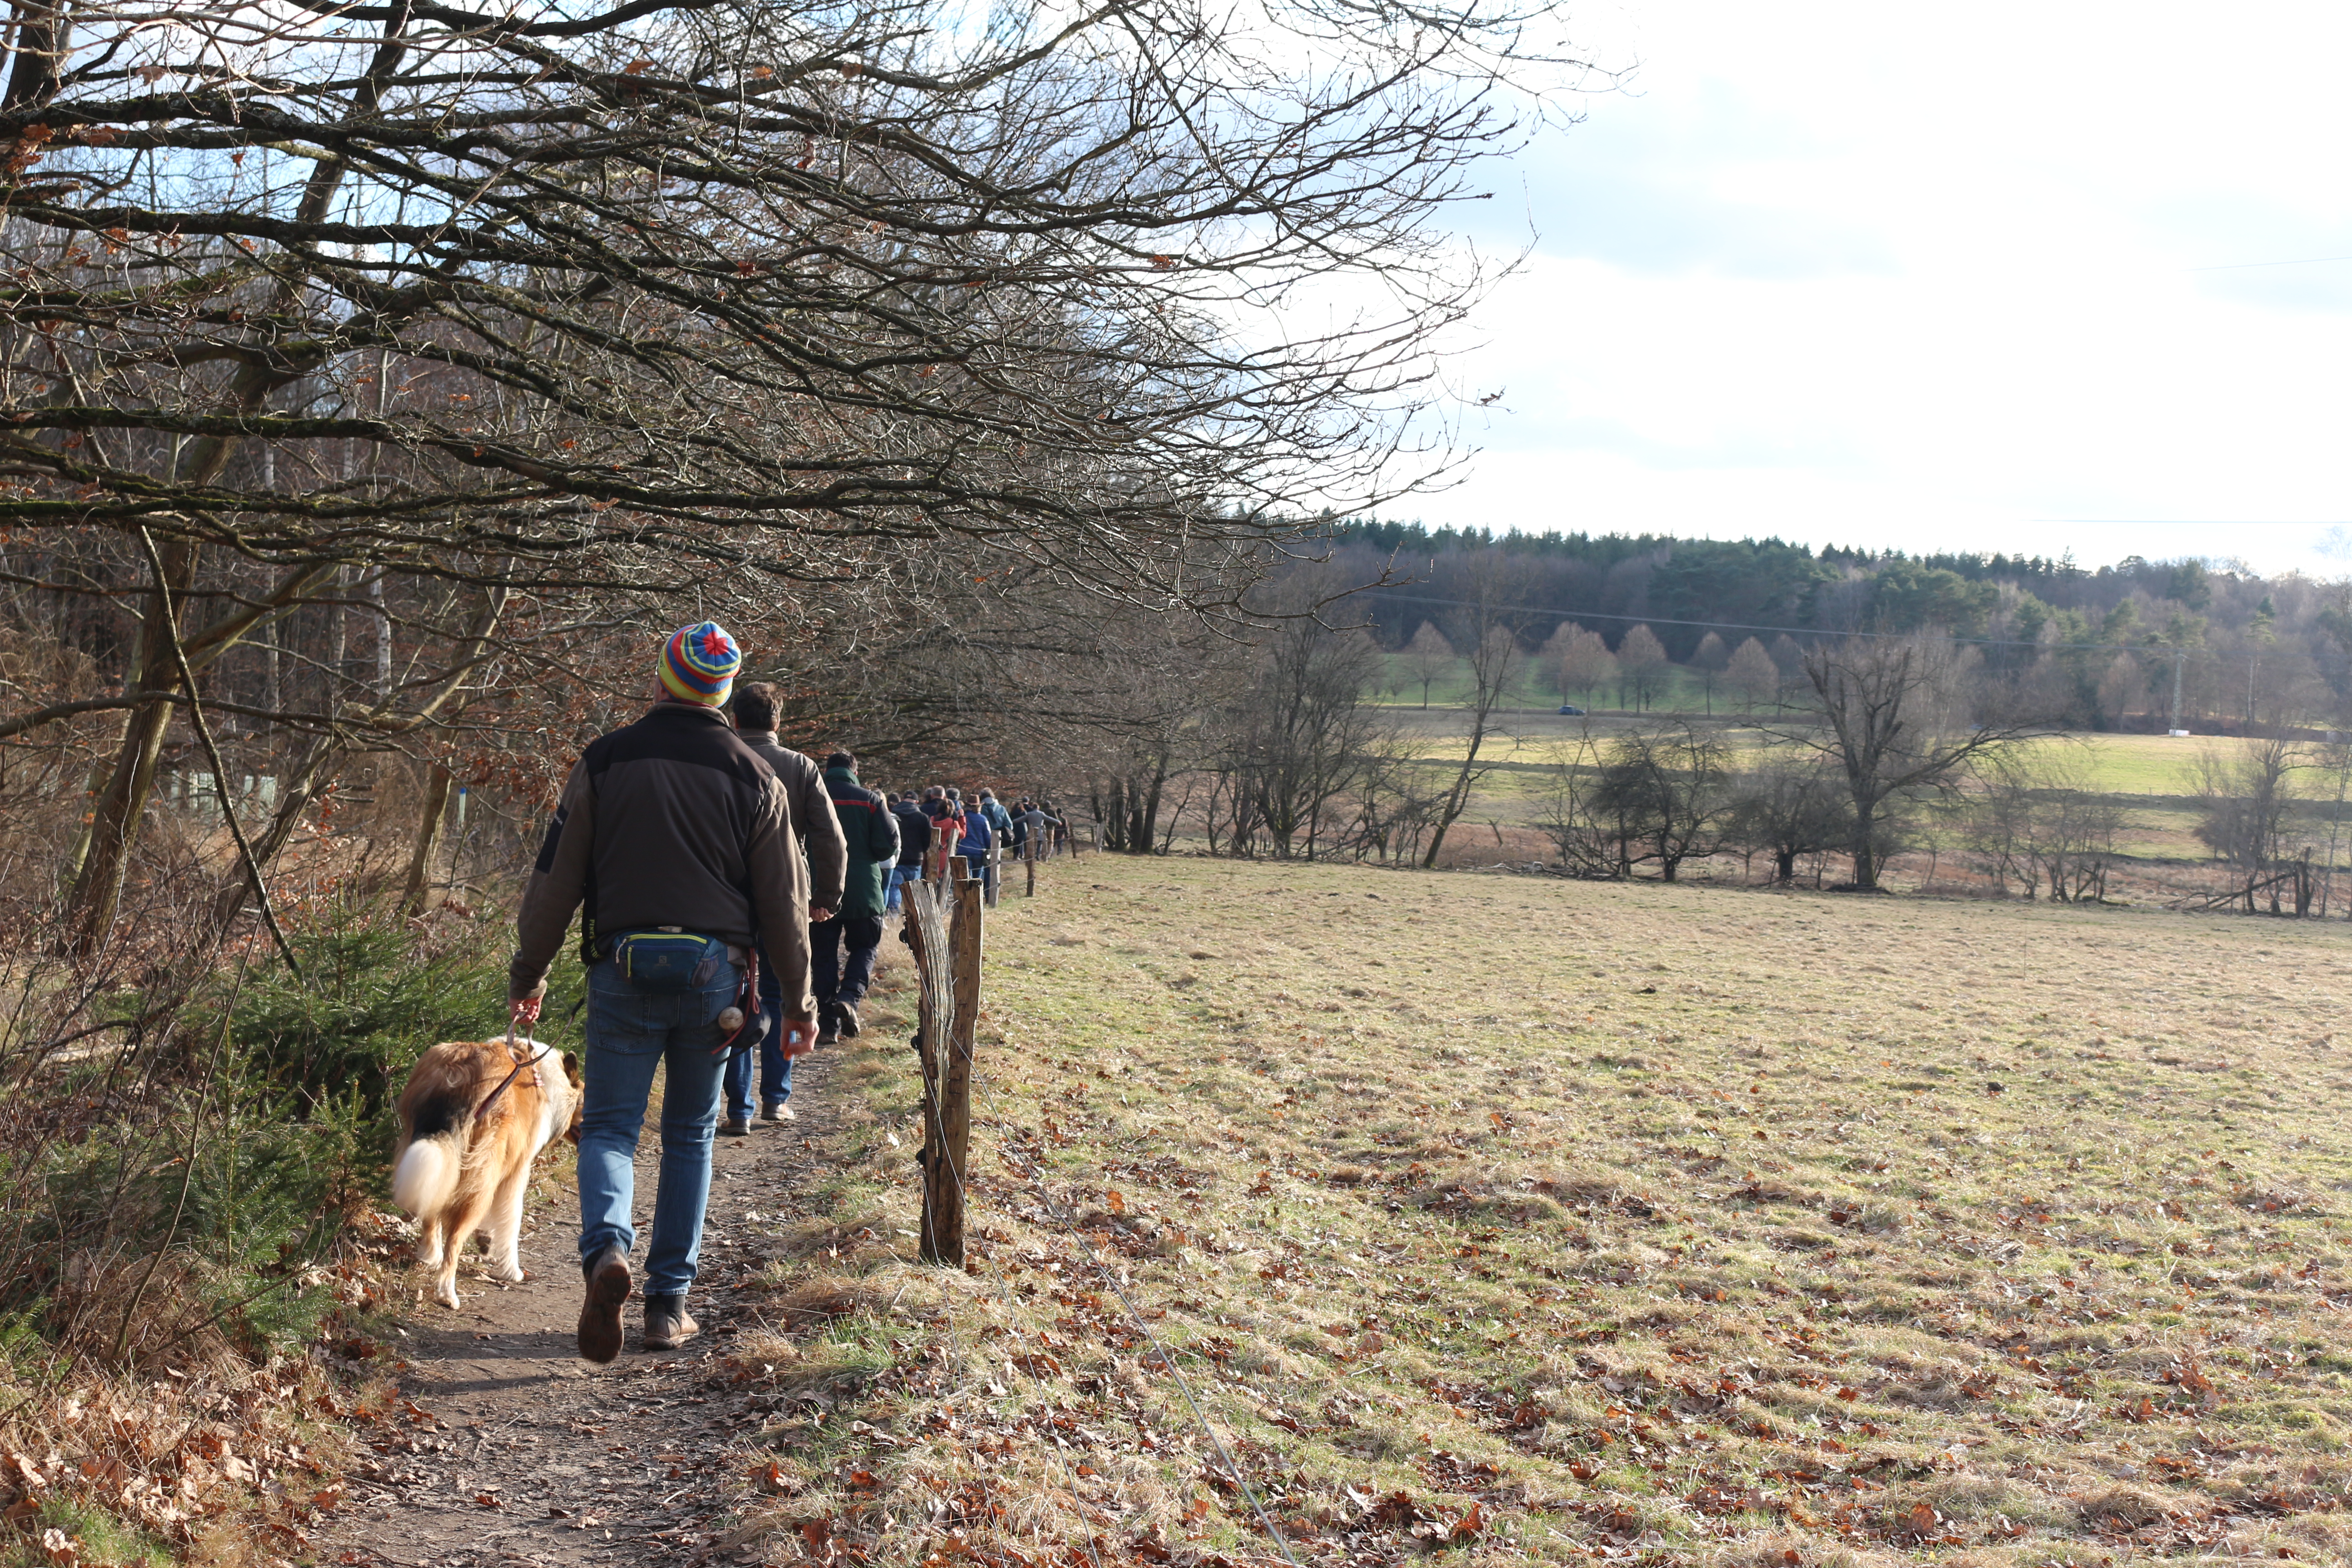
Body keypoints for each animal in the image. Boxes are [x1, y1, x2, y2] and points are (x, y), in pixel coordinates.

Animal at [390, 1044, 583, 1316]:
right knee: (455, 1239)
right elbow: (511, 1222)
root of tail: (458, 1074)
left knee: (431, 1208)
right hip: (485, 1170)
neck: (546, 1079)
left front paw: (484, 1240)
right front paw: (512, 1270)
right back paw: (447, 1293)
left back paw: (431, 1256)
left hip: (430, 1154)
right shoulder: (517, 1172)